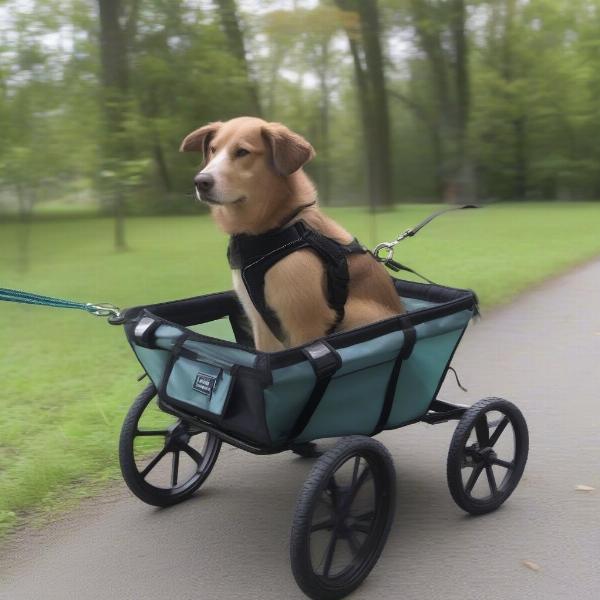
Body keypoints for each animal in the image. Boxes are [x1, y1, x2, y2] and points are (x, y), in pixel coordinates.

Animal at [180, 116, 406, 352]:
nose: (200, 181)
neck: (275, 229)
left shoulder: (304, 325)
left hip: (357, 315)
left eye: (242, 152)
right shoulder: (261, 325)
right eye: (213, 150)